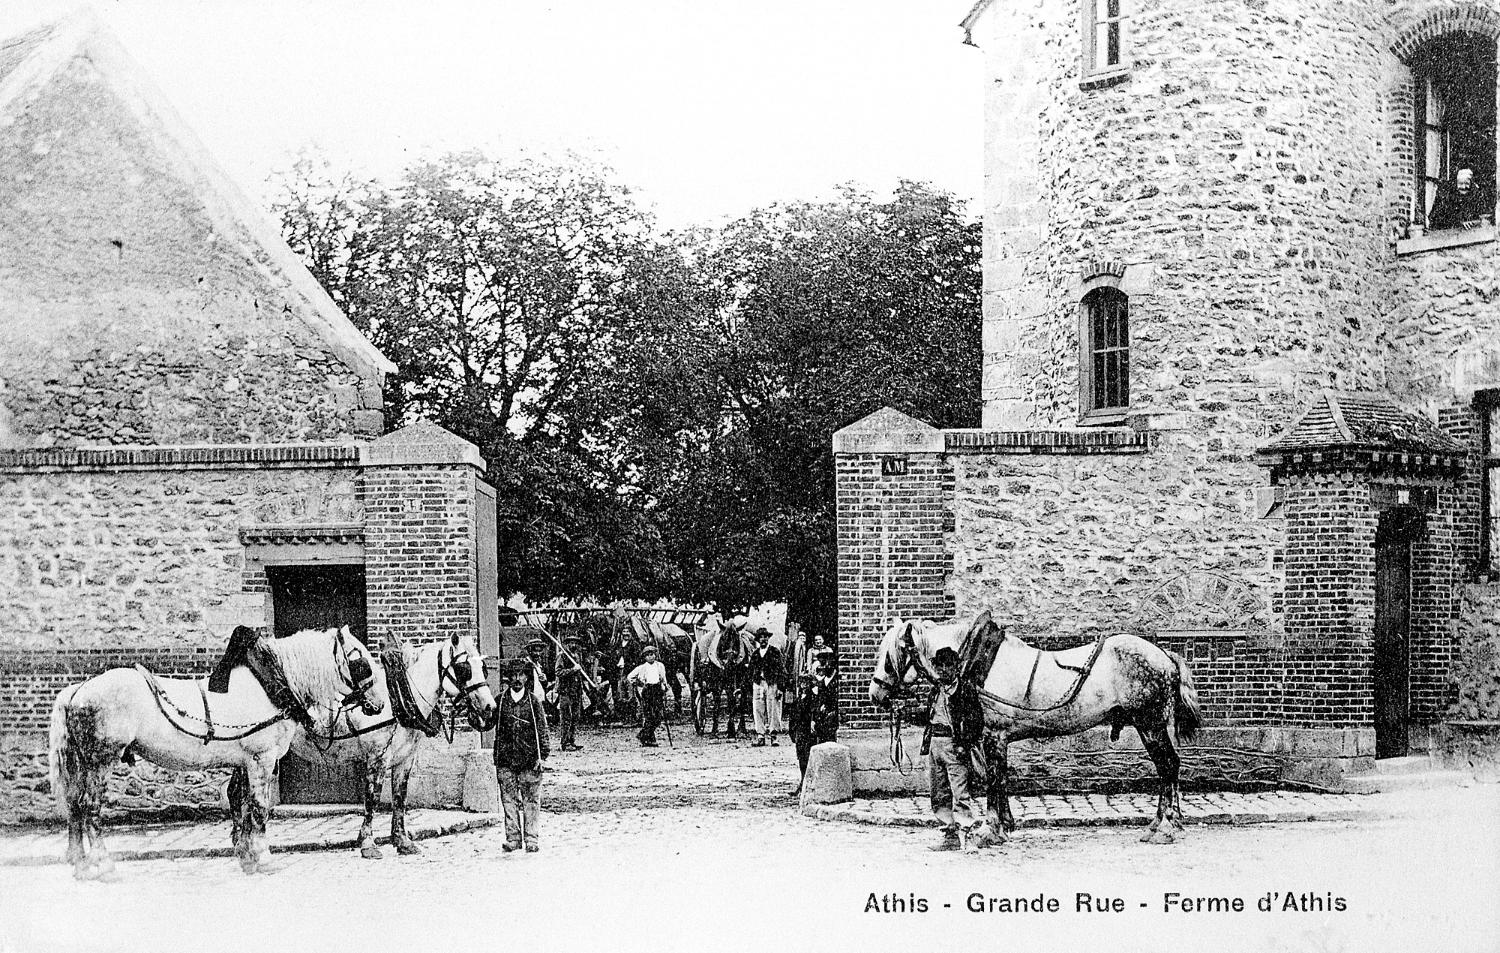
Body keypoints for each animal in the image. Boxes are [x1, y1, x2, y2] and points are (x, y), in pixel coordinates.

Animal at [51, 627, 387, 882]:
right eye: (360, 660)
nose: (380, 703)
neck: (272, 686)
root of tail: (77, 690)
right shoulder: (261, 759)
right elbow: (259, 809)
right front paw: (264, 858)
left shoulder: (244, 762)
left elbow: (242, 806)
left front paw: (247, 859)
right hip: (101, 760)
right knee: (90, 808)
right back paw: (104, 864)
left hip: (81, 762)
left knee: (75, 806)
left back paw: (81, 866)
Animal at [288, 633, 504, 858]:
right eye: (463, 668)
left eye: (483, 667)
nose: (490, 707)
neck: (397, 701)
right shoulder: (378, 758)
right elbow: (372, 798)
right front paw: (368, 844)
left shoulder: (405, 759)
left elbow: (400, 797)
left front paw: (402, 841)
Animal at [870, 618, 1206, 852]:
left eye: (889, 657)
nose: (876, 693)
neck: (978, 665)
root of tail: (1165, 656)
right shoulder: (998, 740)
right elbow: (1001, 780)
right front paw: (1005, 826)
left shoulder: (994, 736)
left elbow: (994, 781)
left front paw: (990, 830)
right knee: (1168, 768)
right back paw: (1162, 823)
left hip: (1150, 725)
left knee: (1168, 766)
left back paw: (1164, 827)